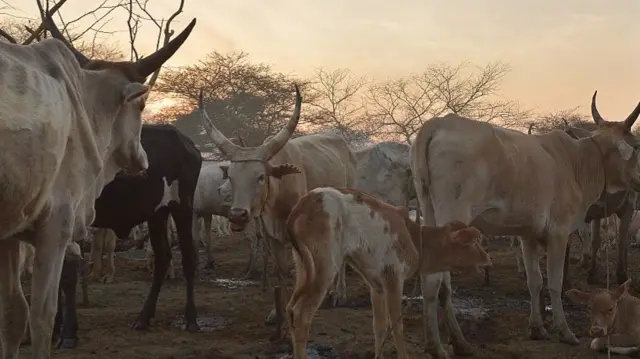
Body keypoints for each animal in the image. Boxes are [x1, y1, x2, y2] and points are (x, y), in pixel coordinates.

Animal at [0, 10, 195, 358]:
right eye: (141, 106)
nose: (141, 160)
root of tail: (188, 142)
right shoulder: (42, 228)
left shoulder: (51, 225)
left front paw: (66, 333)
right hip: (157, 214)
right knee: (163, 258)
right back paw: (144, 318)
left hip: (180, 207)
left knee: (186, 257)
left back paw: (190, 319)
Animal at [199, 86, 358, 330]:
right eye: (231, 177)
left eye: (260, 176)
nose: (237, 216)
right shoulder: (271, 236)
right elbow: (281, 271)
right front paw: (276, 312)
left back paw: (339, 294)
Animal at [284, 188, 490, 359]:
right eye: (475, 241)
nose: (488, 257)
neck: (415, 240)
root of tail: (302, 205)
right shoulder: (393, 278)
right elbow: (397, 325)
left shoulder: (376, 285)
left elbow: (380, 326)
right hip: (325, 267)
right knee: (302, 315)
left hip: (304, 266)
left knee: (292, 312)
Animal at [410, 91, 640, 358]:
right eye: (636, 146)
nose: (639, 179)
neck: (578, 162)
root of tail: (437, 124)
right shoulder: (559, 232)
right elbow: (554, 282)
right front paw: (565, 332)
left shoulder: (527, 235)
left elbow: (535, 281)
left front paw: (537, 328)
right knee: (434, 280)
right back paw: (437, 346)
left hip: (430, 214)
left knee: (440, 282)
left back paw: (459, 342)